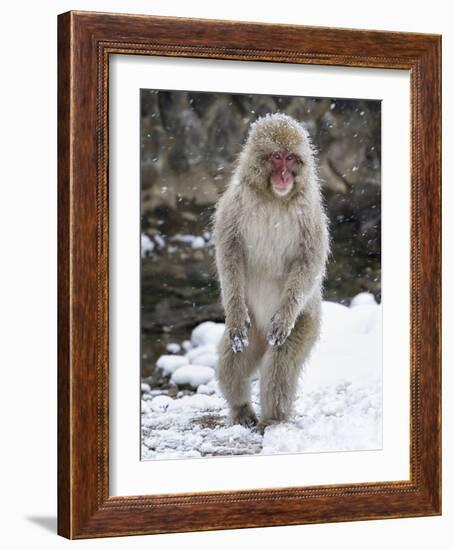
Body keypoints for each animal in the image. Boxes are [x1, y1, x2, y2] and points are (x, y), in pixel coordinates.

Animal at [212, 113, 328, 432]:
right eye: (276, 157)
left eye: (291, 158)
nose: (285, 176)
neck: (275, 198)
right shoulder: (235, 202)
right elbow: (229, 253)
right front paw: (234, 313)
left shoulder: (310, 211)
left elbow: (309, 261)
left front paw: (284, 319)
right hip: (252, 328)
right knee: (233, 360)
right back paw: (241, 408)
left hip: (307, 321)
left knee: (280, 363)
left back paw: (274, 419)